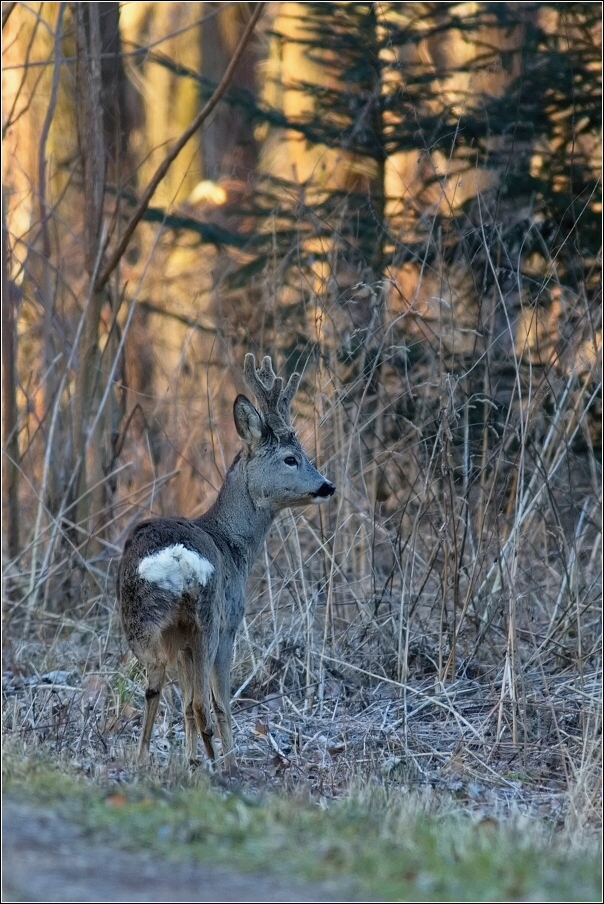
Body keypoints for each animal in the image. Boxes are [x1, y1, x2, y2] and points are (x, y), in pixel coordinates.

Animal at [118, 354, 336, 768]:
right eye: (292, 458)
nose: (327, 486)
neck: (233, 544)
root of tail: (177, 558)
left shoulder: (179, 639)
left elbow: (184, 704)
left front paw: (188, 761)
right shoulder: (231, 622)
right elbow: (220, 704)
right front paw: (223, 760)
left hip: (142, 620)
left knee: (158, 687)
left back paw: (144, 759)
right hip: (209, 621)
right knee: (205, 702)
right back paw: (223, 766)